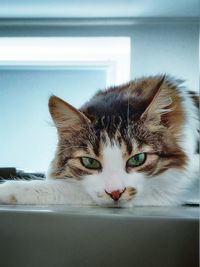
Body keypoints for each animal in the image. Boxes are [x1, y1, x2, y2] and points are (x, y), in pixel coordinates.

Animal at [0, 75, 199, 207]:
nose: (115, 193)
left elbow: (68, 188)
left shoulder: (165, 189)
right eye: (89, 162)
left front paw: (10, 189)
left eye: (138, 159)